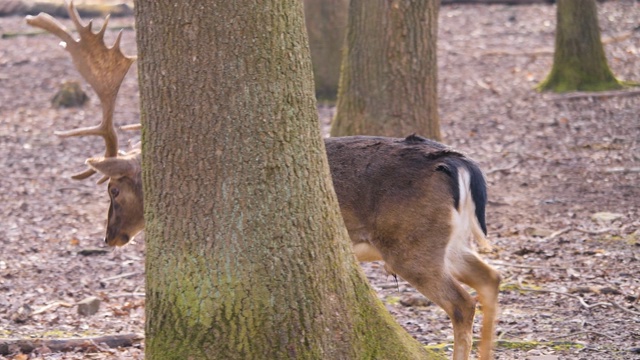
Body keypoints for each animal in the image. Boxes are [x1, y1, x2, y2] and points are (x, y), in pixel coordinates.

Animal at [27, 1, 500, 358]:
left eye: (113, 189)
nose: (109, 237)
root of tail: (459, 166)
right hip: (448, 240)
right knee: (491, 278)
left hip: (411, 243)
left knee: (462, 302)